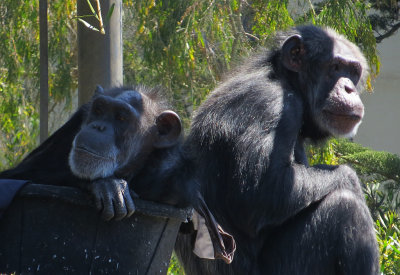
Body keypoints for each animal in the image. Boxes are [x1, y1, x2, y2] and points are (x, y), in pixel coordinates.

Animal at [0, 85, 236, 264]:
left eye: (121, 117)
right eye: (99, 109)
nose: (98, 126)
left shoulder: (174, 180)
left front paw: (109, 185)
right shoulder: (72, 126)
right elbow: (15, 176)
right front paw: (107, 186)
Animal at [176, 24, 382, 274]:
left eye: (352, 71)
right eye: (335, 67)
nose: (349, 88)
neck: (285, 80)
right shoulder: (271, 105)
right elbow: (263, 191)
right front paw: (351, 178)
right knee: (344, 206)